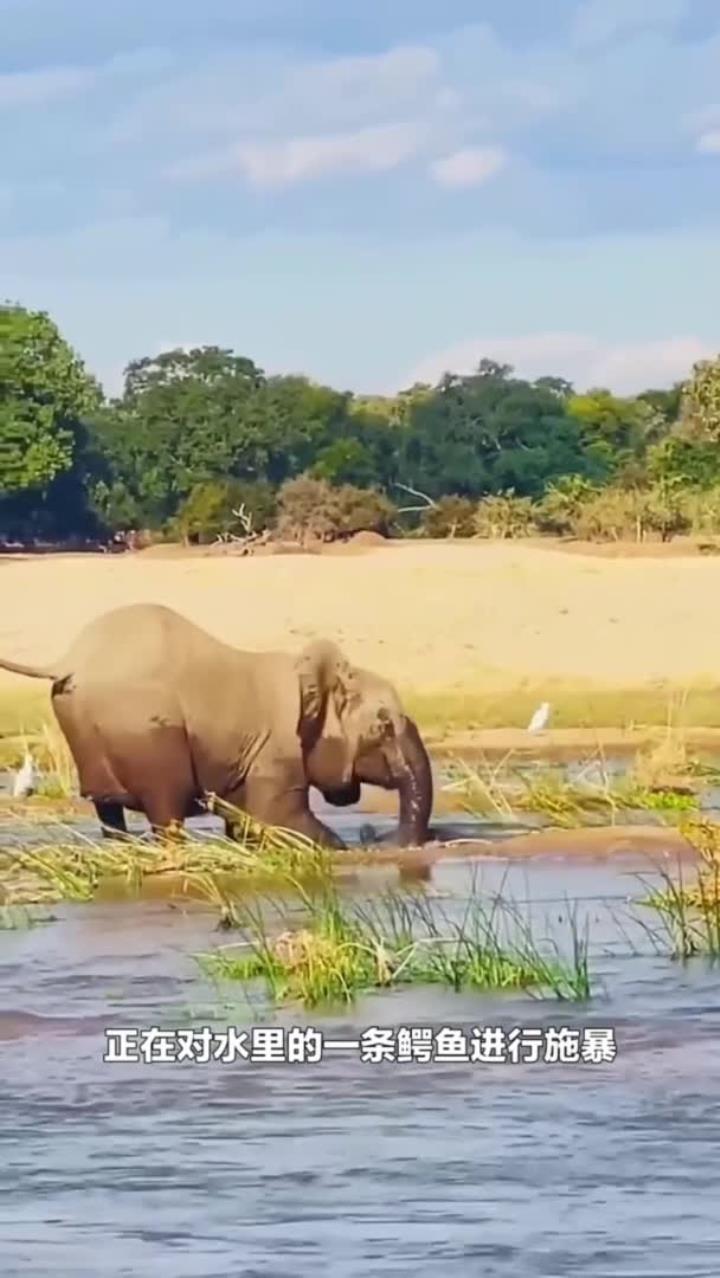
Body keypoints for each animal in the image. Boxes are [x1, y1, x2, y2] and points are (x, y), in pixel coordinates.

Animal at [0, 603, 433, 849]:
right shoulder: (277, 751)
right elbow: (278, 819)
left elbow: (245, 823)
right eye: (384, 726)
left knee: (109, 811)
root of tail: (68, 660)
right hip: (144, 729)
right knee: (165, 807)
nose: (379, 839)